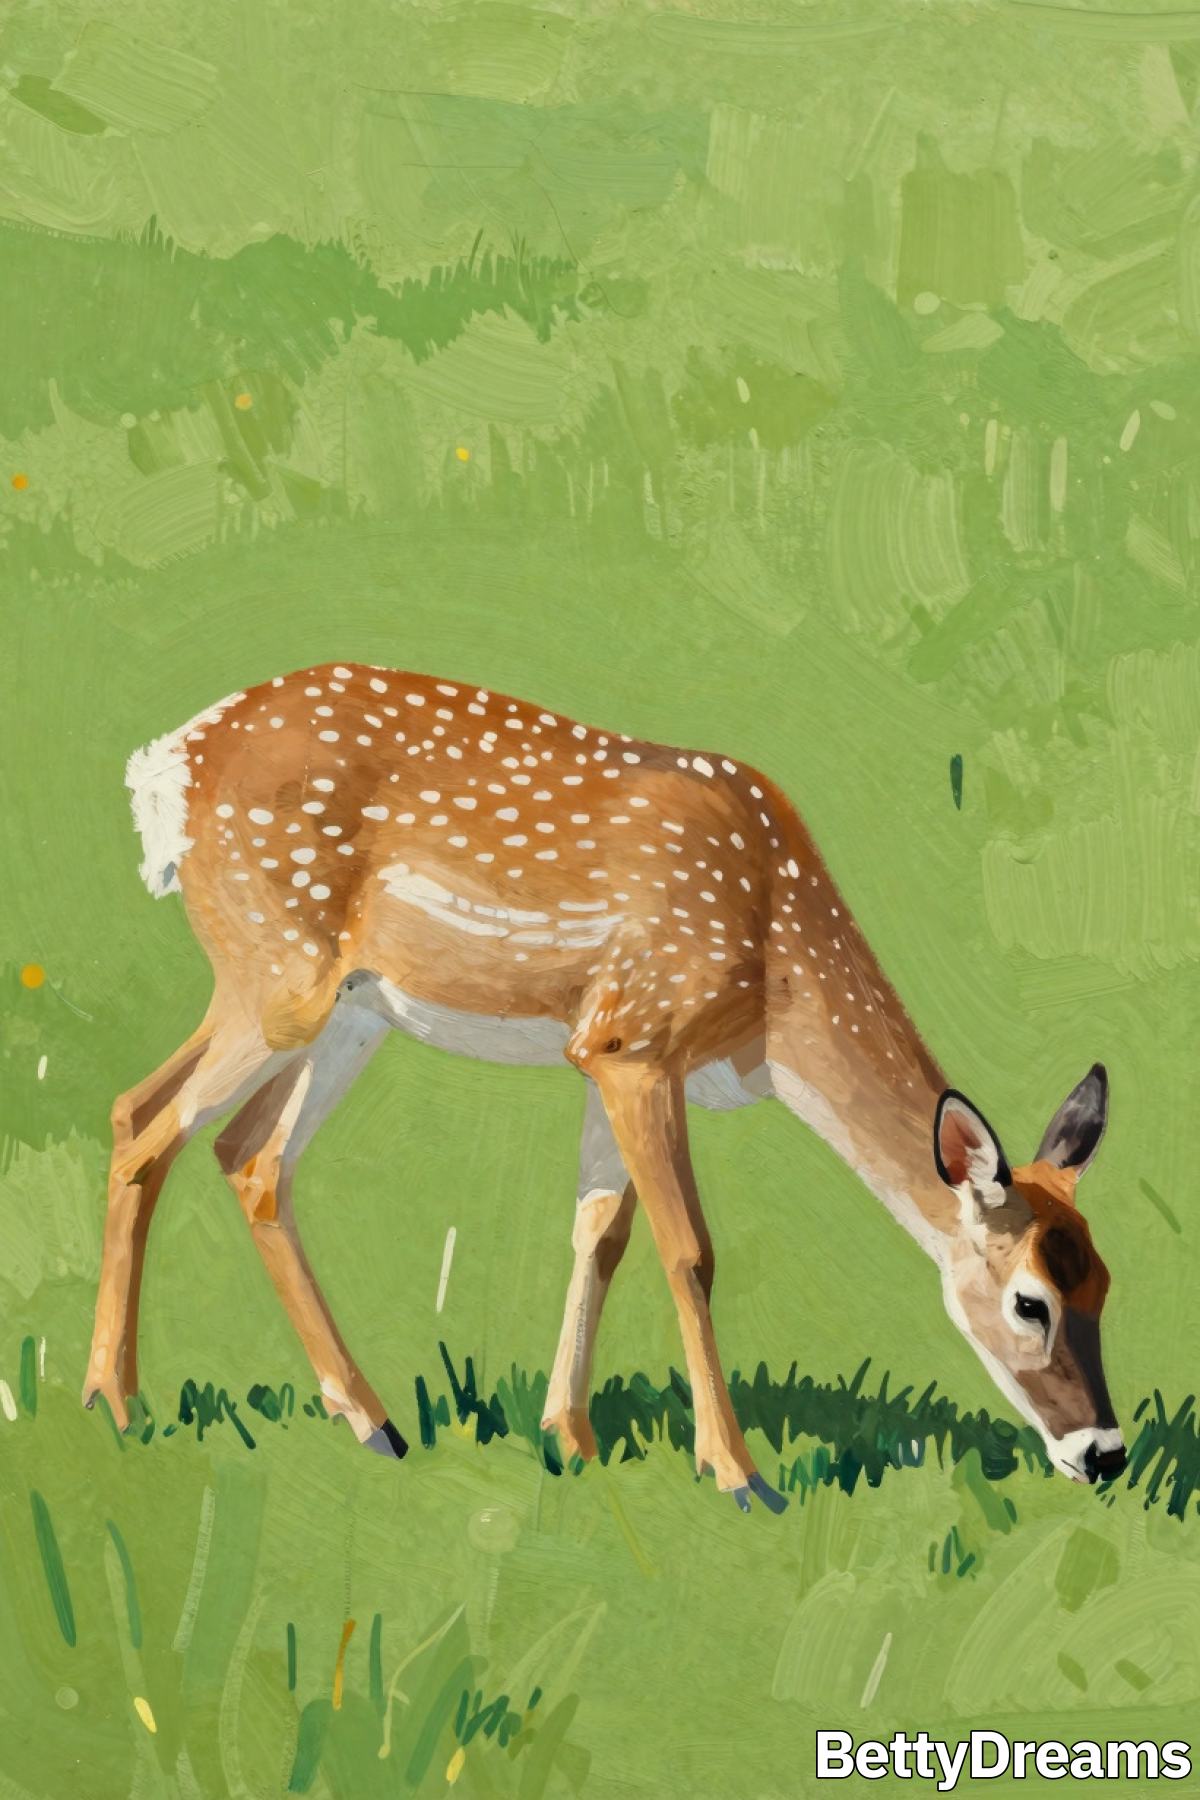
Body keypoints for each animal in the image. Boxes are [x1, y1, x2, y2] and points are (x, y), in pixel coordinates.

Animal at [84, 663, 1126, 1508]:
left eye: (1108, 1284)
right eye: (1029, 1301)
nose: (1107, 1453)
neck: (774, 975)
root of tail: (165, 768)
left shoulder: (601, 1047)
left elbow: (599, 1232)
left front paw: (570, 1439)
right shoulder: (639, 1040)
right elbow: (688, 1250)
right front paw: (737, 1474)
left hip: (349, 1009)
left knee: (248, 1153)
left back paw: (370, 1420)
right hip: (275, 973)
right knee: (142, 1117)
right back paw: (115, 1405)